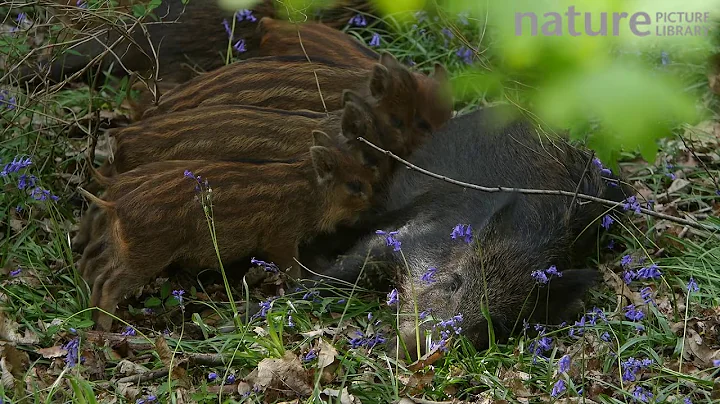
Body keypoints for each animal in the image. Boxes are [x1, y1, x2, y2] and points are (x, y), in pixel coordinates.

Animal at [78, 129, 376, 331]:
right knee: (109, 282)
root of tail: (116, 203)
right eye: (354, 186)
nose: (377, 205)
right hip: (146, 255)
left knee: (98, 274)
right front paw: (302, 288)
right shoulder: (280, 238)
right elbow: (294, 269)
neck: (309, 191)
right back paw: (105, 326)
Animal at [305, 104, 632, 359]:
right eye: (454, 283)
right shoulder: (403, 236)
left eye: (495, 323)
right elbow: (342, 270)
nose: (416, 349)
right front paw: (299, 291)